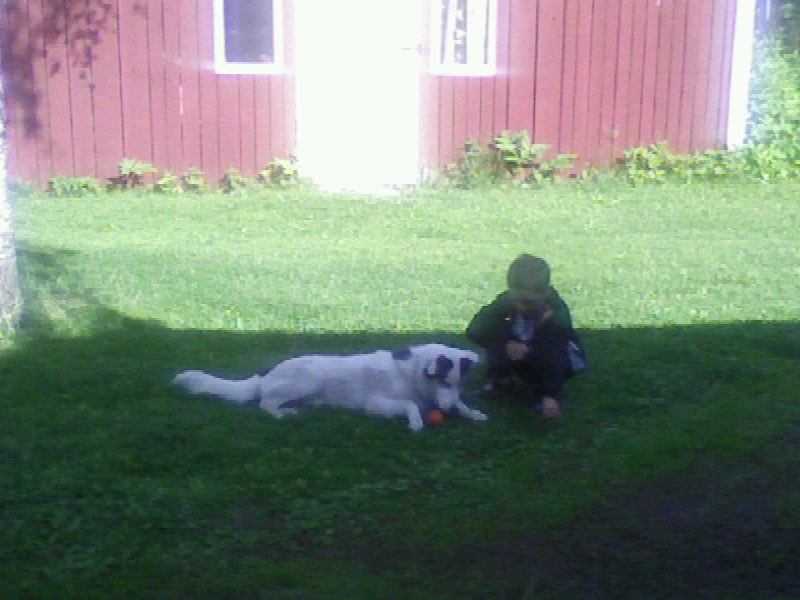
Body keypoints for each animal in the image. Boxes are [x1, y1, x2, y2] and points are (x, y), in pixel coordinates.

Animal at [172, 343, 488, 431]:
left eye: (458, 383)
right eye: (443, 381)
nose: (446, 411)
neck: (414, 374)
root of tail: (266, 374)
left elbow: (462, 404)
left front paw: (472, 412)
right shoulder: (376, 405)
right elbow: (411, 406)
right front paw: (416, 422)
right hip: (310, 376)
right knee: (264, 405)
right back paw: (283, 414)